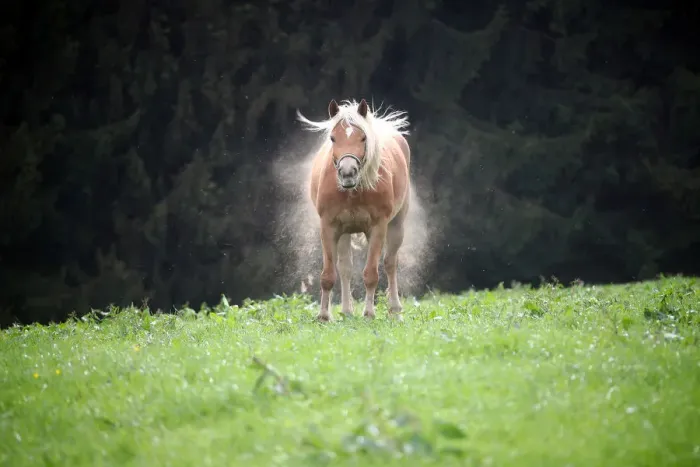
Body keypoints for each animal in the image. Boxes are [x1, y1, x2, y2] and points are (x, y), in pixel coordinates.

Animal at [296, 98, 412, 322]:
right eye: (333, 138)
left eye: (363, 137)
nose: (347, 172)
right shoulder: (329, 227)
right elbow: (328, 275)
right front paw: (324, 316)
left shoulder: (378, 228)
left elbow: (371, 274)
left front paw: (369, 313)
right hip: (344, 232)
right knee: (345, 267)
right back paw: (347, 311)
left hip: (397, 226)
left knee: (390, 263)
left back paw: (394, 309)